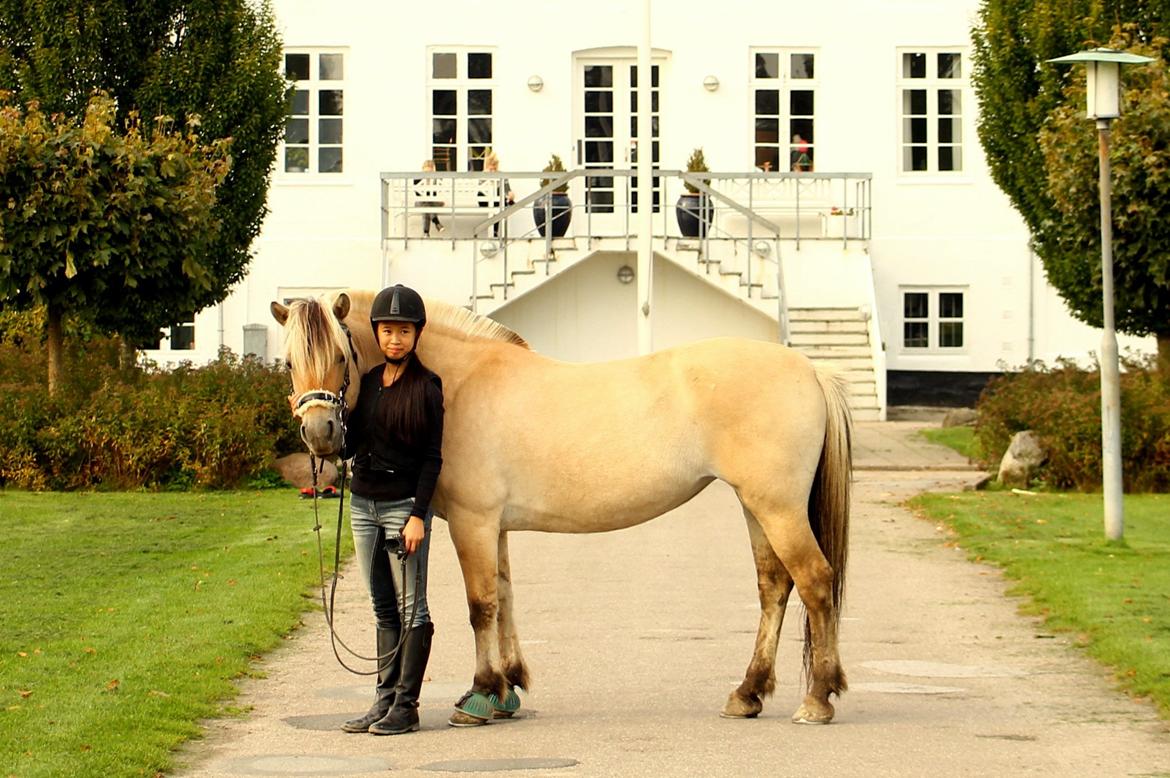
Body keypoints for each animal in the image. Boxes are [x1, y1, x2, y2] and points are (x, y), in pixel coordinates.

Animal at [274, 287, 856, 725]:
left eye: (341, 356)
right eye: (289, 362)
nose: (321, 434)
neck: (455, 383)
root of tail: (810, 370)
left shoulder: (472, 523)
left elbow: (480, 605)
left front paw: (480, 694)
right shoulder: (494, 527)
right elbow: (505, 597)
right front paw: (507, 689)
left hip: (777, 507)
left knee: (814, 581)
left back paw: (817, 699)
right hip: (756, 506)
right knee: (774, 587)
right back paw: (748, 693)